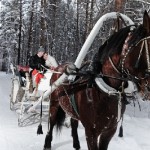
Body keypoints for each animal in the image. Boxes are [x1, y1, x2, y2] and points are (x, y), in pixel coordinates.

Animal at [43, 10, 150, 150]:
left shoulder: (110, 130)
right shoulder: (91, 132)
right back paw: (47, 144)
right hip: (54, 104)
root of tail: (59, 68)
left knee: (73, 123)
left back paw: (76, 144)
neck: (105, 91)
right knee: (51, 124)